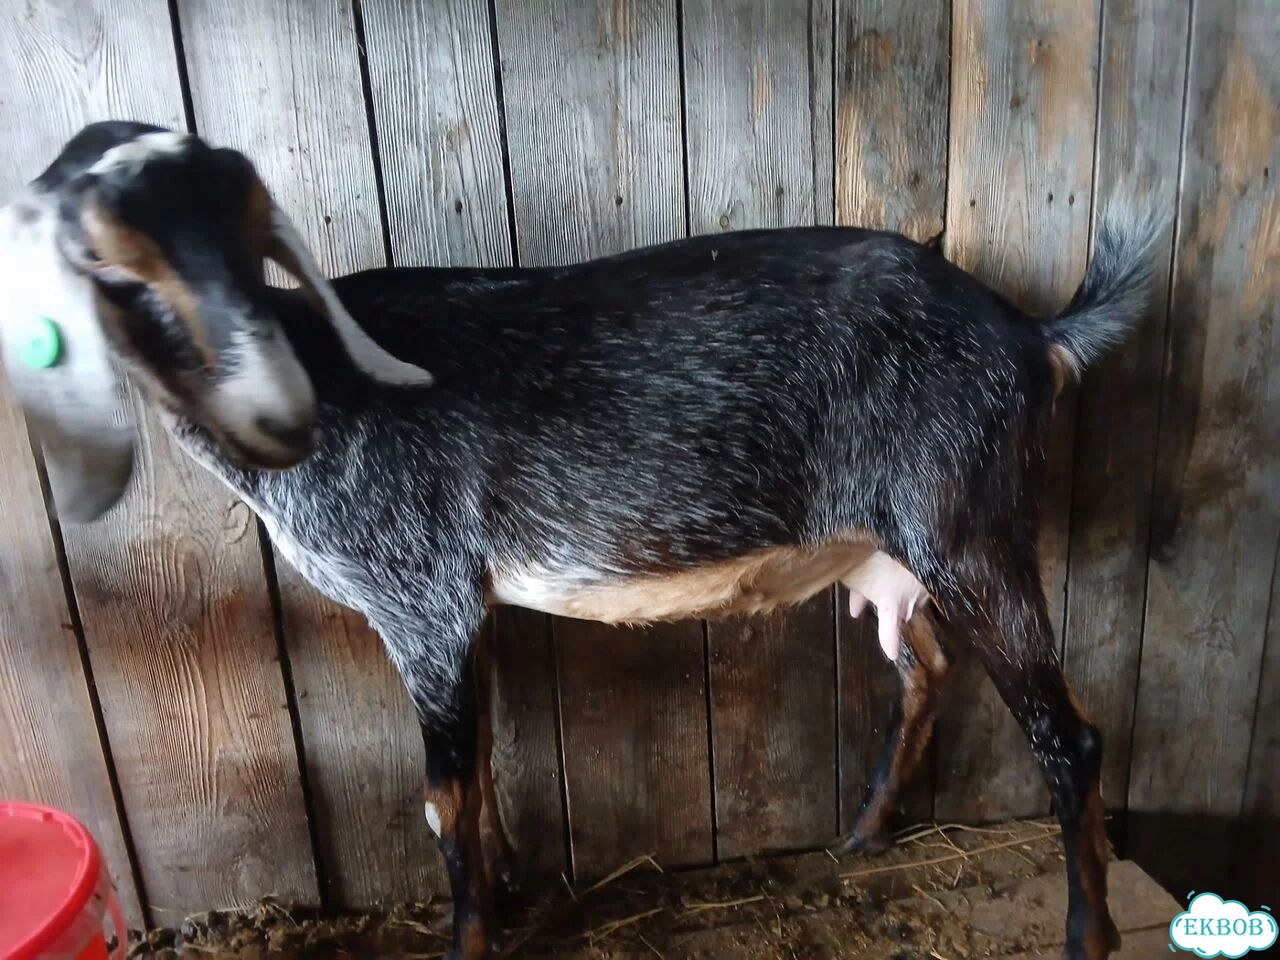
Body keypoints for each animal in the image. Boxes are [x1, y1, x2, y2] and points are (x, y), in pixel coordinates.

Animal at [2, 122, 1162, 960]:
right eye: (101, 257)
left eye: (247, 236)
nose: (270, 400)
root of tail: (1031, 334)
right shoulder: (457, 609)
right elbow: (478, 774)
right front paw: (505, 901)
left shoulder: (417, 597)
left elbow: (442, 800)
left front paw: (467, 942)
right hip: (886, 557)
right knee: (920, 668)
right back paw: (864, 832)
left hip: (968, 525)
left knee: (1069, 734)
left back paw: (1088, 936)